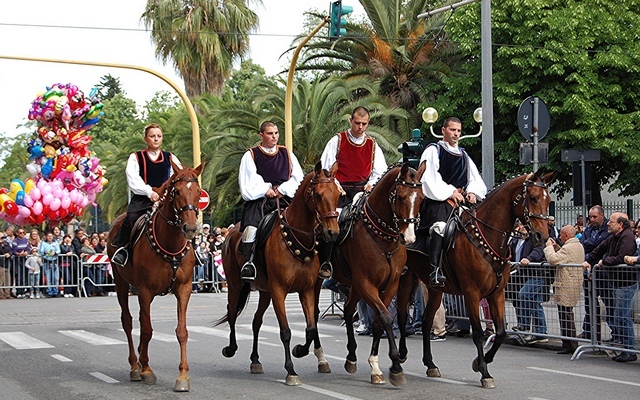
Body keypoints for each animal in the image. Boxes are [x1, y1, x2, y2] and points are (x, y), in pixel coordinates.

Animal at [106, 160, 204, 390]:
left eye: (198, 193)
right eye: (176, 192)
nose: (190, 228)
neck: (170, 243)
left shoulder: (184, 289)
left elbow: (181, 331)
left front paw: (182, 376)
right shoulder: (145, 291)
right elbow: (147, 330)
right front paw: (147, 370)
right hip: (120, 282)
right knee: (129, 321)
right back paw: (136, 366)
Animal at [218, 161, 342, 386]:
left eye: (338, 194)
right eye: (318, 195)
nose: (332, 232)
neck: (296, 239)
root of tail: (231, 233)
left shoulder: (306, 290)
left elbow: (311, 327)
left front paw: (300, 350)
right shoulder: (279, 291)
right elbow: (285, 331)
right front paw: (291, 371)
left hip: (264, 292)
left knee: (256, 322)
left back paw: (255, 360)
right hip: (235, 285)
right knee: (232, 314)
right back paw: (231, 348)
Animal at [330, 163, 424, 388]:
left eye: (421, 198)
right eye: (400, 197)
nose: (408, 237)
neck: (383, 238)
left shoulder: (389, 285)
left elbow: (379, 321)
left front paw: (375, 365)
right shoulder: (367, 284)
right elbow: (386, 318)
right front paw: (395, 366)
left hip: (355, 286)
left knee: (348, 311)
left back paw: (351, 357)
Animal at [396, 169, 556, 388]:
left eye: (548, 200)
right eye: (532, 197)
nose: (542, 236)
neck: (488, 237)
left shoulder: (497, 294)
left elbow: (500, 333)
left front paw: (480, 363)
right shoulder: (472, 293)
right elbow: (479, 333)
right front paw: (484, 372)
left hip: (435, 288)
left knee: (427, 320)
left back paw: (430, 364)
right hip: (405, 279)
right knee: (402, 316)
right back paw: (401, 355)